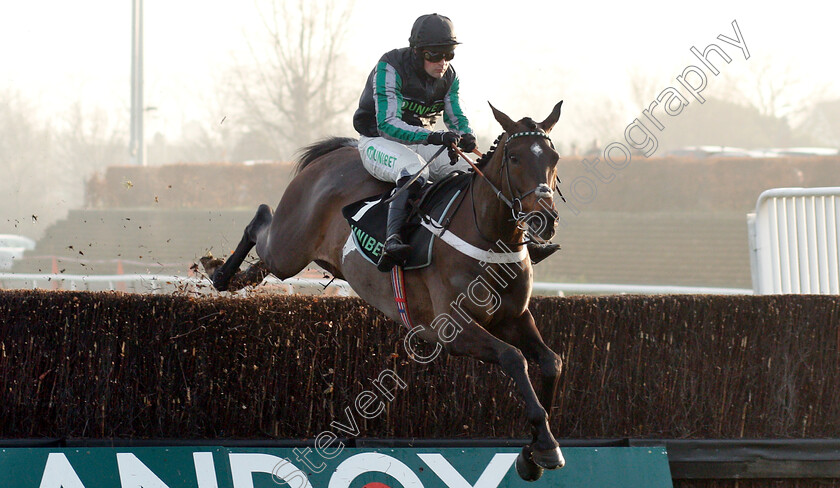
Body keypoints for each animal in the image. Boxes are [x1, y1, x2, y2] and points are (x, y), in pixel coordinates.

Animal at [204, 102, 568, 480]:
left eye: (554, 157)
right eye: (514, 157)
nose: (544, 218)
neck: (486, 236)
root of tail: (337, 152)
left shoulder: (514, 317)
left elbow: (551, 362)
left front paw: (535, 449)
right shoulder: (452, 329)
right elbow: (514, 358)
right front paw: (543, 446)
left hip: (293, 255)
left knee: (261, 261)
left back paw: (229, 276)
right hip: (290, 247)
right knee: (260, 220)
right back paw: (219, 272)